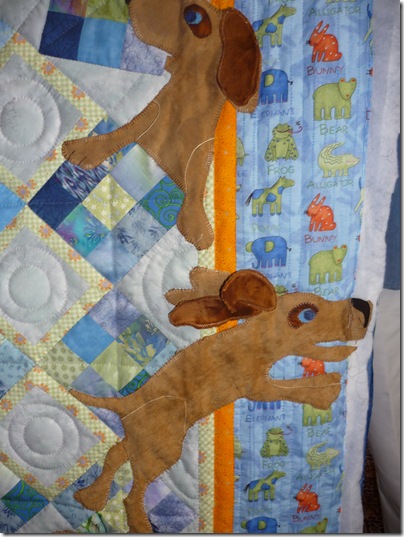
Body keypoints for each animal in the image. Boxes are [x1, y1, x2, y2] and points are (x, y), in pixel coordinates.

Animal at [62, 0, 261, 251]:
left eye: (193, 16)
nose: (128, 2)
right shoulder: (144, 119)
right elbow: (116, 136)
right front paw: (83, 150)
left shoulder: (199, 157)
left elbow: (195, 191)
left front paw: (196, 226)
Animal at [69, 268, 372, 533]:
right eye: (308, 313)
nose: (362, 306)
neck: (252, 339)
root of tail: (125, 403)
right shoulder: (256, 387)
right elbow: (290, 387)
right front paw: (325, 390)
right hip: (162, 445)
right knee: (132, 492)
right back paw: (138, 525)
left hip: (140, 439)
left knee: (114, 455)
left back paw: (90, 498)